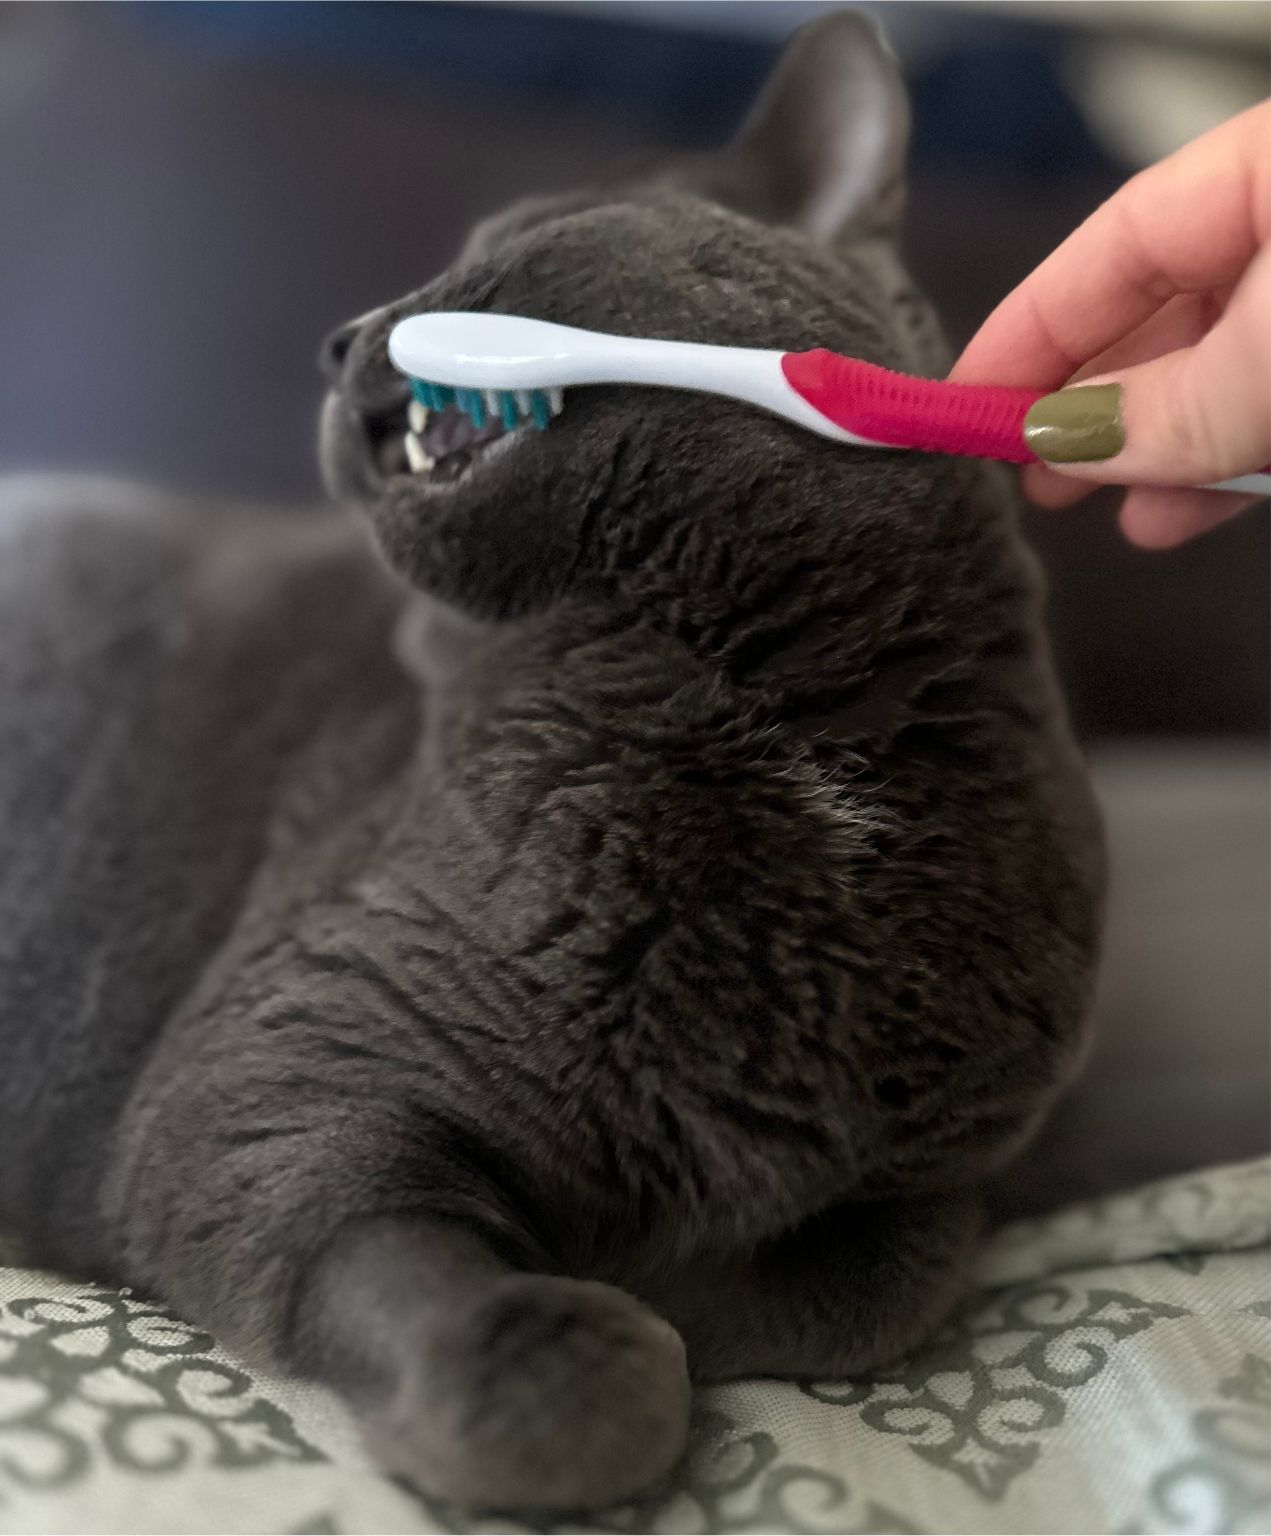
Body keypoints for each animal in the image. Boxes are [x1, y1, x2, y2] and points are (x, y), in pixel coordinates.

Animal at [0, 14, 1106, 1511]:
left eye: (522, 234)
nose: (337, 335)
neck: (778, 706)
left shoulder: (934, 1188)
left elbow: (862, 1290)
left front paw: (670, 1263)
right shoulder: (285, 1073)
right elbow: (553, 1368)